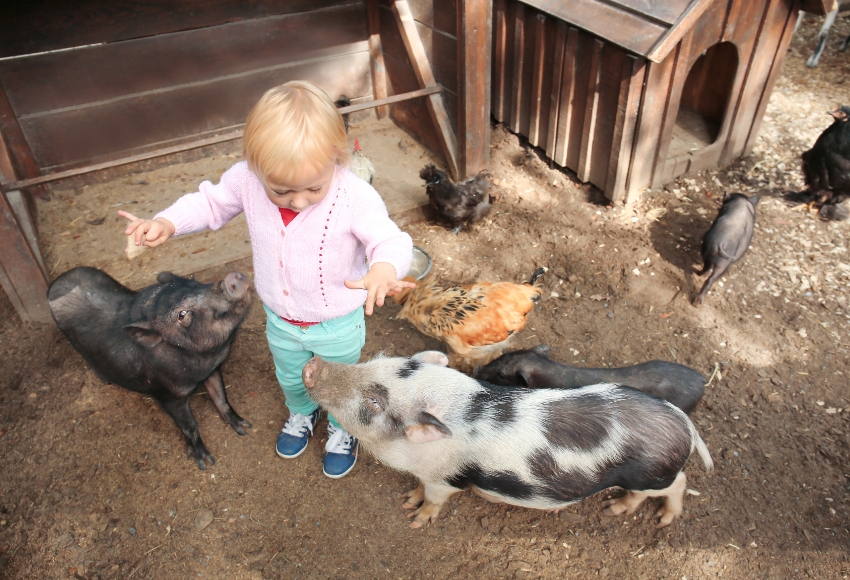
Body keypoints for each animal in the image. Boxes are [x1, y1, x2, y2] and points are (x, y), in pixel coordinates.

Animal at [47, 266, 252, 466]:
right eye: (182, 315)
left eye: (196, 283)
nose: (232, 277)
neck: (203, 362)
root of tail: (55, 283)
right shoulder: (166, 396)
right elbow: (189, 425)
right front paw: (206, 462)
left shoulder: (212, 371)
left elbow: (221, 398)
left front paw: (245, 428)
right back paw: (106, 380)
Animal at [302, 352, 712, 528]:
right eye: (373, 361)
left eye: (374, 402)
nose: (312, 364)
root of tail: (683, 425)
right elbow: (418, 490)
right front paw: (407, 501)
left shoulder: (446, 481)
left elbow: (434, 501)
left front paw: (416, 520)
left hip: (652, 474)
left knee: (679, 483)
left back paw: (652, 518)